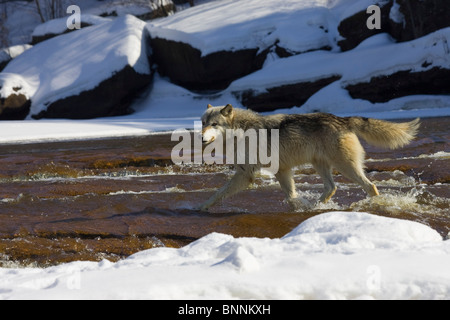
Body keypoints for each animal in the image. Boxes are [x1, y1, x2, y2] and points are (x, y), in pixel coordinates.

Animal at [199, 104, 420, 211]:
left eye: (215, 124)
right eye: (203, 123)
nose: (200, 137)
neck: (241, 131)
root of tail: (343, 119)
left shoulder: (246, 175)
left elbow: (217, 193)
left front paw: (201, 207)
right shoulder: (282, 170)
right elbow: (291, 196)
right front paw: (301, 206)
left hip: (345, 167)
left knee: (370, 186)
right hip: (321, 165)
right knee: (332, 188)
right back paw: (316, 206)